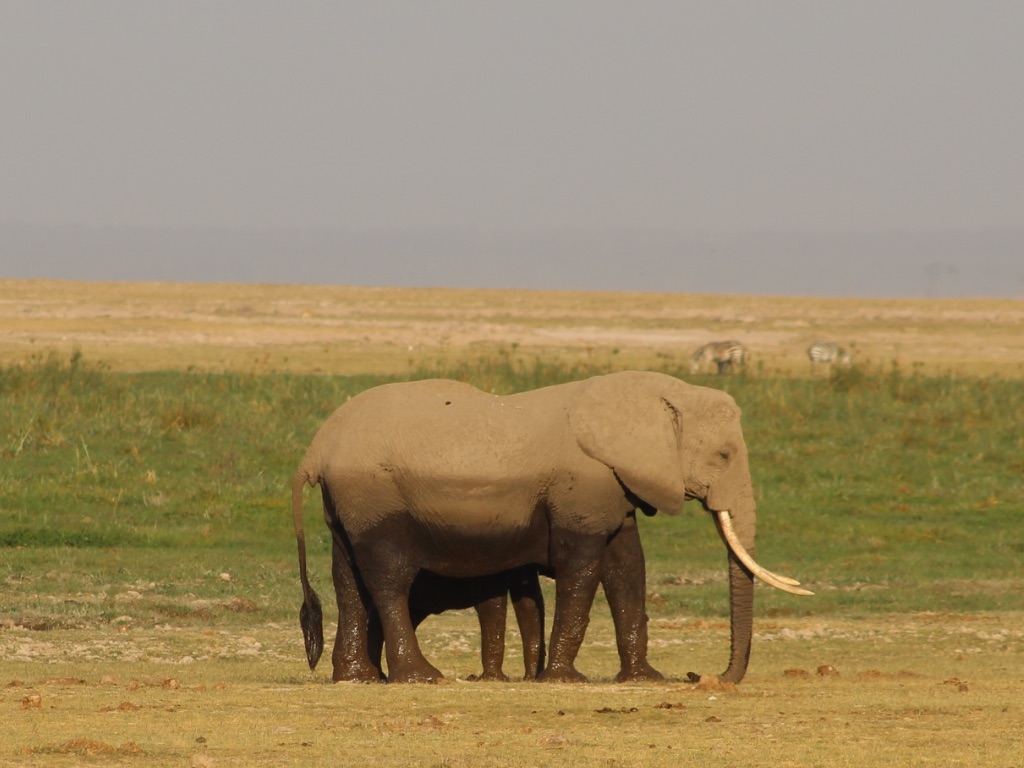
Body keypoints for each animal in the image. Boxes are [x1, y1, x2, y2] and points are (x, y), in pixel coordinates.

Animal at [292, 370, 810, 684]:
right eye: (723, 455)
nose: (700, 676)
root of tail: (317, 448)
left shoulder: (613, 486)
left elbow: (628, 568)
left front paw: (644, 679)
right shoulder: (583, 485)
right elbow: (582, 566)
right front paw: (565, 679)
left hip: (349, 504)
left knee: (348, 579)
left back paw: (357, 678)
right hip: (376, 496)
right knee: (389, 579)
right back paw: (422, 676)